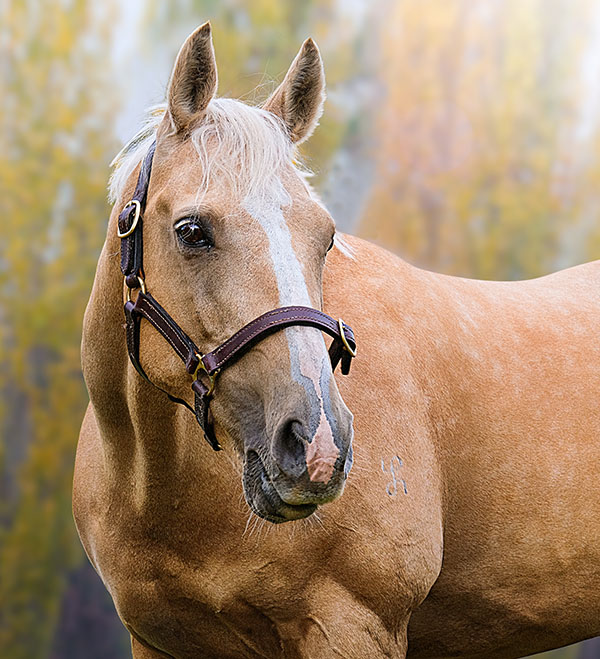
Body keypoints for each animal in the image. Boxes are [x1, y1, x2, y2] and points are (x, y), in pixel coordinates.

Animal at [74, 22, 600, 658]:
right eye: (192, 231)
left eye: (326, 237)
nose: (317, 443)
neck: (160, 488)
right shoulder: (158, 641)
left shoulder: (350, 625)